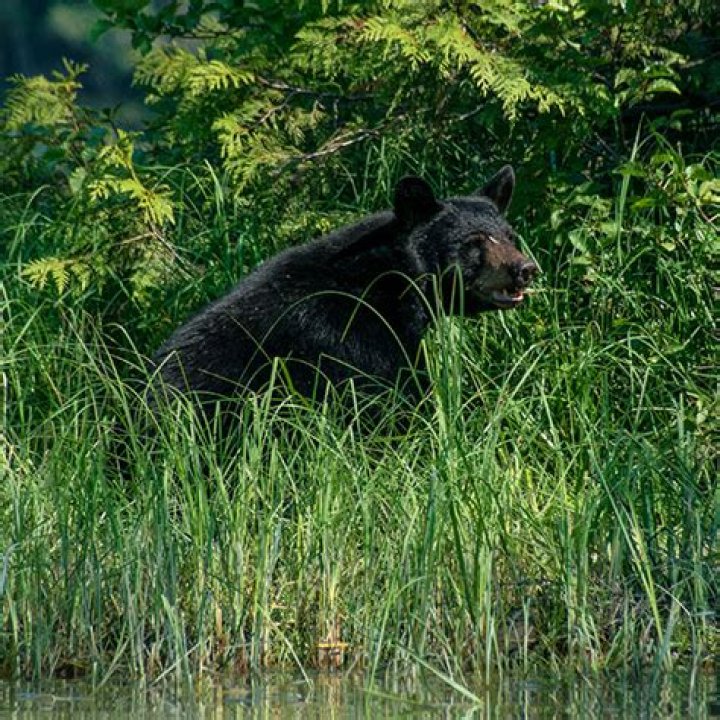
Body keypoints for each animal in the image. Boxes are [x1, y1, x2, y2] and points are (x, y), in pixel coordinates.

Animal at [151, 165, 537, 415]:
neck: (390, 282)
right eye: (473, 242)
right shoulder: (353, 337)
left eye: (510, 236)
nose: (525, 270)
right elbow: (391, 400)